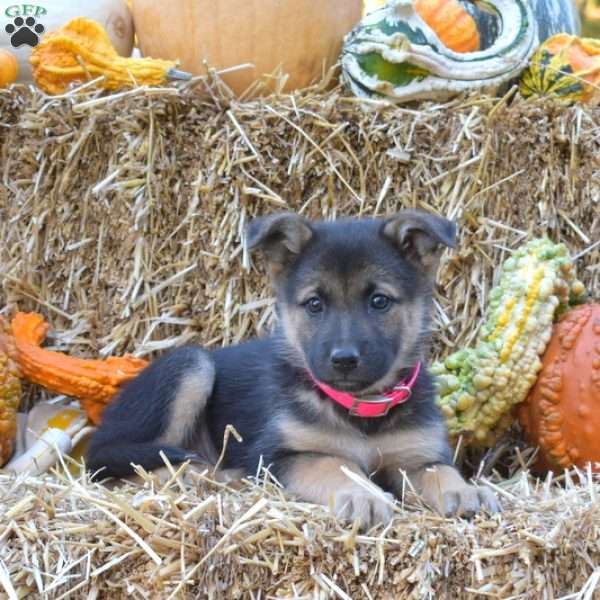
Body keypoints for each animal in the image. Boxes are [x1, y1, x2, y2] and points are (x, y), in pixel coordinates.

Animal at [88, 210, 502, 524]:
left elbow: (440, 470)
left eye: (380, 301)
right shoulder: (282, 456)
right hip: (192, 366)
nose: (344, 360)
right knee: (112, 465)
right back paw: (193, 475)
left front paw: (465, 491)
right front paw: (363, 495)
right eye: (315, 304)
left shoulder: (418, 455)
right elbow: (333, 464)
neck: (360, 411)